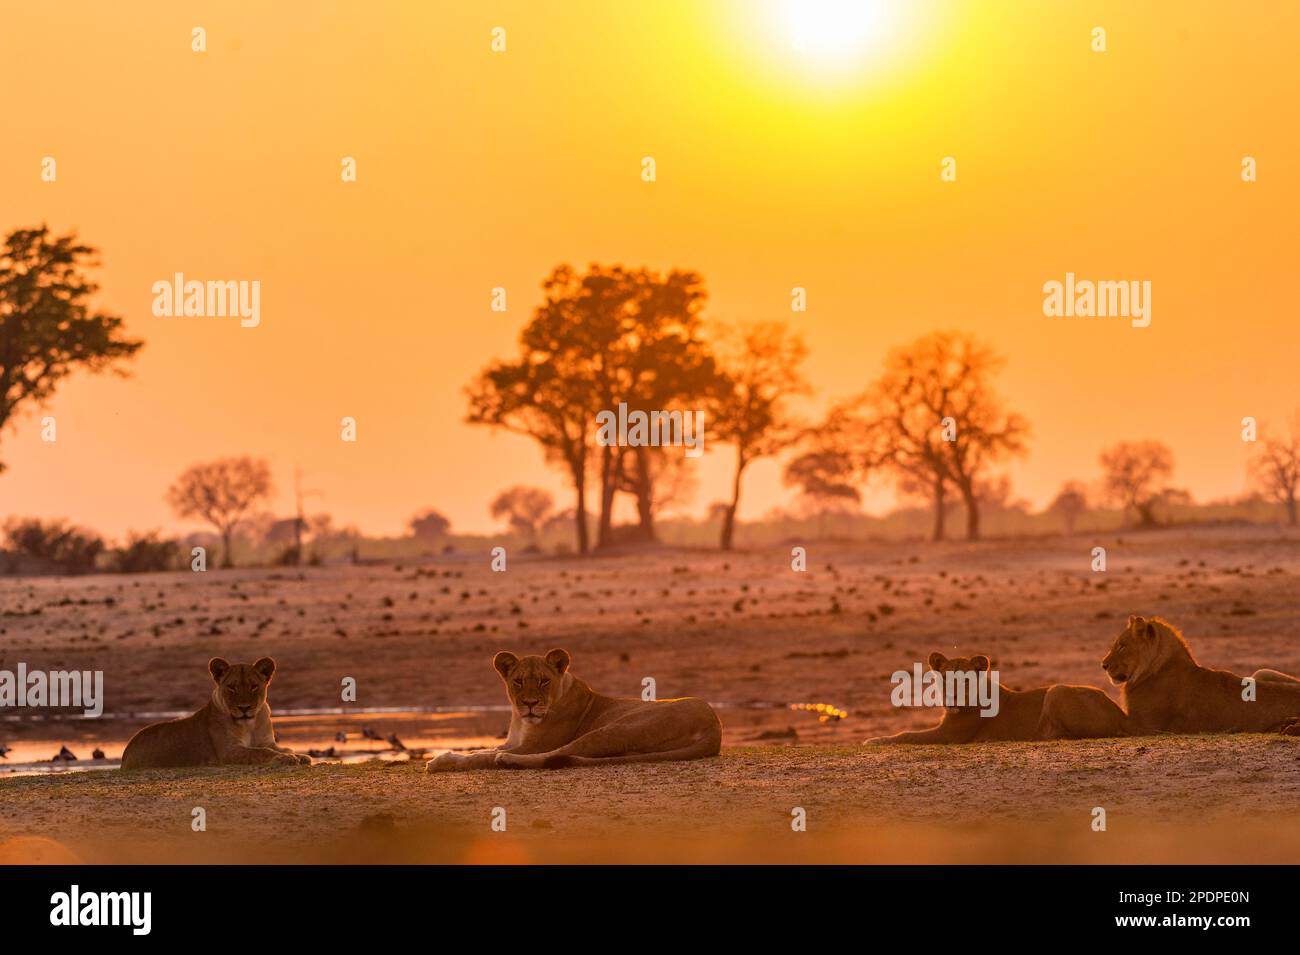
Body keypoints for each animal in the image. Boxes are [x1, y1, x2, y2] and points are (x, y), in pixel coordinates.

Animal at [120, 657, 312, 769]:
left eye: (254, 686)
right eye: (232, 687)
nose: (244, 708)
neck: (250, 723)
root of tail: (126, 751)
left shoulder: (267, 741)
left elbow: (283, 748)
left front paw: (300, 755)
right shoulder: (229, 751)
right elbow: (261, 752)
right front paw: (286, 758)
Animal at [431, 647, 728, 774]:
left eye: (544, 680)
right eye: (518, 681)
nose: (530, 703)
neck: (520, 719)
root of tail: (714, 725)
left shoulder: (531, 745)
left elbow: (481, 755)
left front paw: (440, 761)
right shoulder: (512, 741)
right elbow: (480, 749)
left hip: (614, 729)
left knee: (559, 754)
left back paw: (508, 762)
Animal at [868, 649, 1133, 748]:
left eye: (965, 679)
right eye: (944, 677)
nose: (952, 697)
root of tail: (1121, 714)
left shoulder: (949, 735)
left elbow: (907, 735)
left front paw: (873, 740)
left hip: (1056, 690)